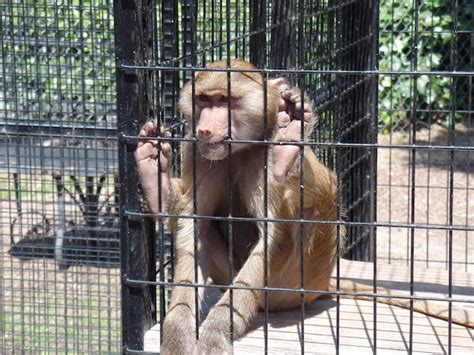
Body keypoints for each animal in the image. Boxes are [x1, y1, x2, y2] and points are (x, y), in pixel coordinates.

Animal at [135, 59, 472, 354]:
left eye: (225, 101)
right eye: (203, 100)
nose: (205, 129)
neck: (244, 149)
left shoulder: (262, 159)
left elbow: (274, 236)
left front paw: (216, 333)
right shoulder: (198, 152)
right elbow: (194, 227)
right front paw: (177, 332)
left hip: (296, 285)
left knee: (320, 198)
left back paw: (289, 148)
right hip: (234, 277)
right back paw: (155, 181)